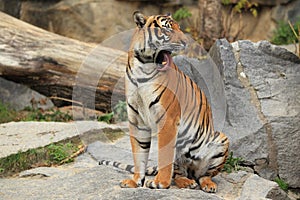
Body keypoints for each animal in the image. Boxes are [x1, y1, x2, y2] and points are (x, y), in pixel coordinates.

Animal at [101, 11, 230, 194]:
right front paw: (135, 181)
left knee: (204, 175)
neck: (143, 67)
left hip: (220, 139)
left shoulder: (168, 120)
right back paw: (186, 182)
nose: (185, 42)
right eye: (167, 30)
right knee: (180, 174)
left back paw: (207, 185)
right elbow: (139, 153)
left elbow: (164, 155)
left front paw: (160, 183)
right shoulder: (137, 121)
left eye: (179, 28)